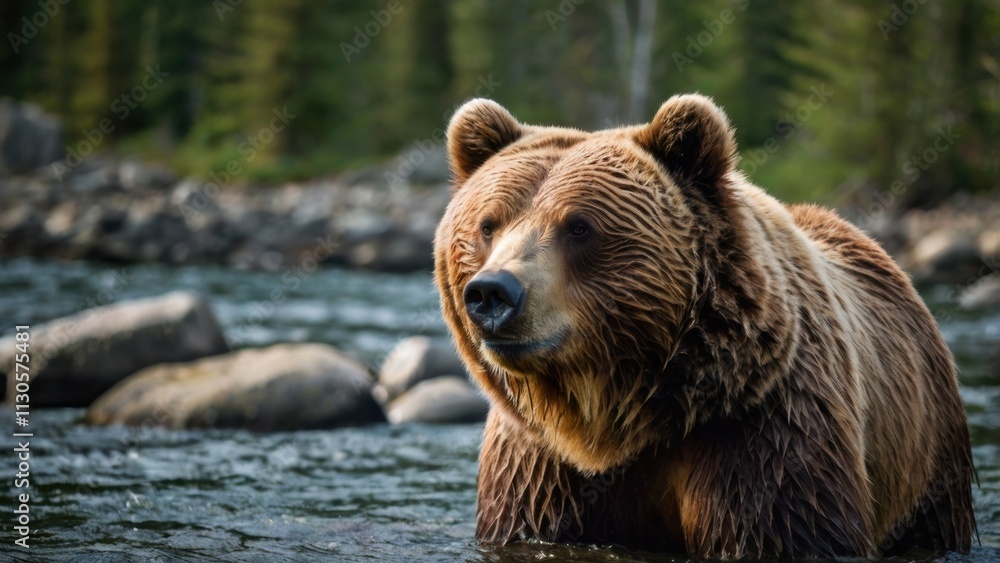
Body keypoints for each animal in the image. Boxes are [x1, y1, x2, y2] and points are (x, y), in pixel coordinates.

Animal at [433, 94, 975, 559]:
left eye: (579, 226)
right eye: (488, 224)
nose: (492, 292)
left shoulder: (761, 429)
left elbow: (784, 527)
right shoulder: (537, 468)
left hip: (927, 455)